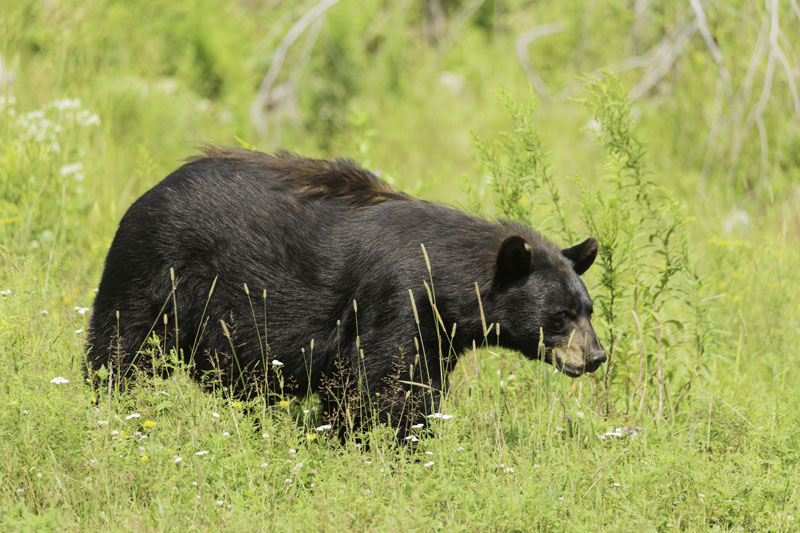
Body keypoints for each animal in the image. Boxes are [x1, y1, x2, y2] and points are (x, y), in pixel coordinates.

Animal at [84, 148, 604, 434]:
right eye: (561, 315)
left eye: (589, 309)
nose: (597, 356)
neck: (444, 279)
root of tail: (148, 192)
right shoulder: (396, 302)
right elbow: (380, 388)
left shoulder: (436, 334)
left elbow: (409, 386)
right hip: (153, 271)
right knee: (121, 349)